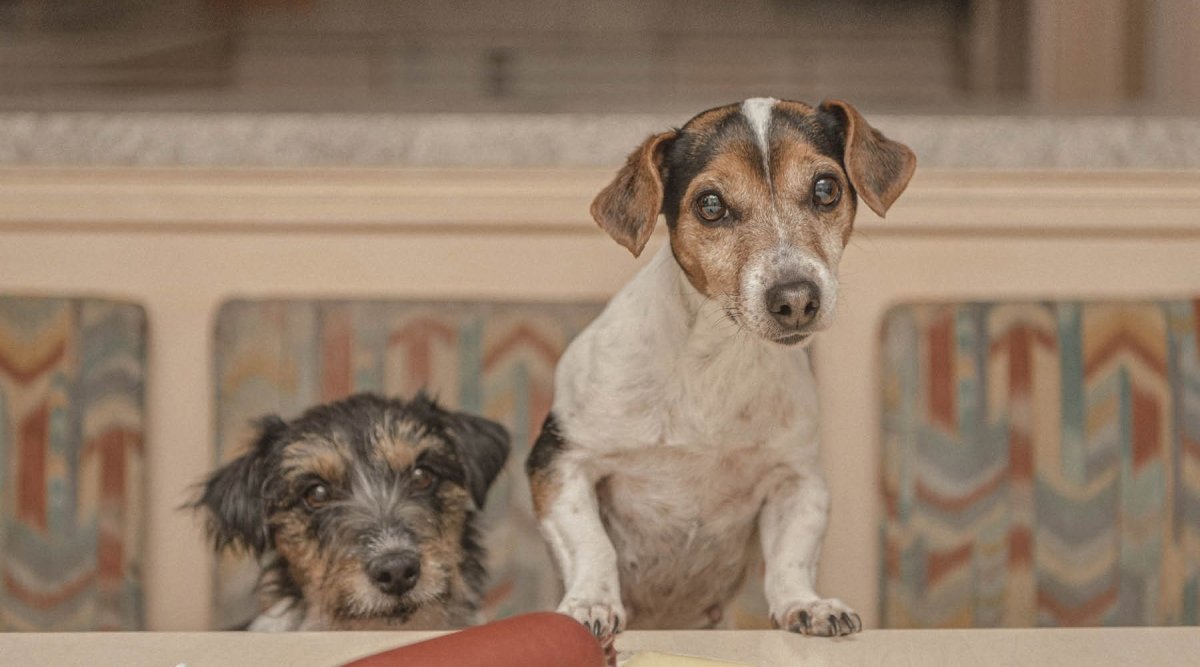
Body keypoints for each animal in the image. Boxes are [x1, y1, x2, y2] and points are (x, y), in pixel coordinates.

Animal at [525, 97, 907, 633]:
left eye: (826, 189)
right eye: (710, 205)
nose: (795, 299)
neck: (719, 360)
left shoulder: (797, 481)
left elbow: (791, 559)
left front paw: (805, 604)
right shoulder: (561, 461)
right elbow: (592, 545)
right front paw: (591, 603)